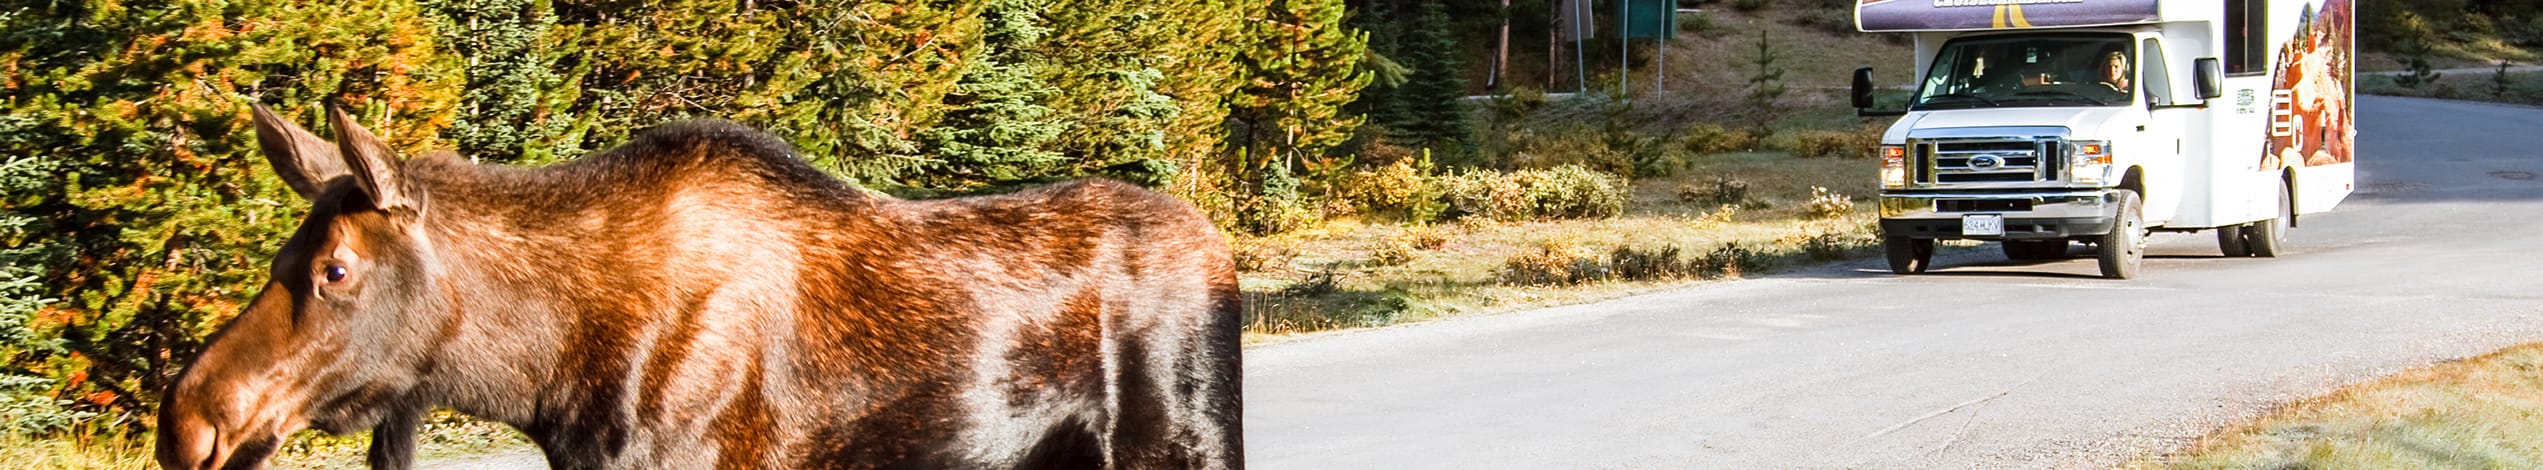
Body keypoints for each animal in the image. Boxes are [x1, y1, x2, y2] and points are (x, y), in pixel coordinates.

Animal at [153, 103, 1246, 469]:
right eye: (280, 260)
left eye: (334, 268)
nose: (191, 420)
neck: (542, 378)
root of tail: (1224, 253)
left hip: (1184, 444)